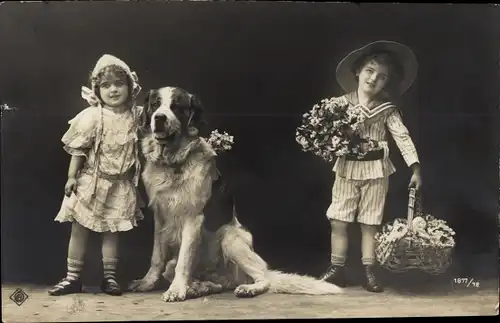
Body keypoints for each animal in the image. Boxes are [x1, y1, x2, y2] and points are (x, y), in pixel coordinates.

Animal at [128, 87, 344, 302]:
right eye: (155, 104)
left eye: (176, 107)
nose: (159, 118)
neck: (173, 163)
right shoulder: (160, 216)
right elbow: (157, 256)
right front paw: (147, 283)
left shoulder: (193, 218)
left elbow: (184, 258)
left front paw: (176, 289)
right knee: (207, 281)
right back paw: (199, 287)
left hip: (231, 239)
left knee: (263, 278)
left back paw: (247, 289)